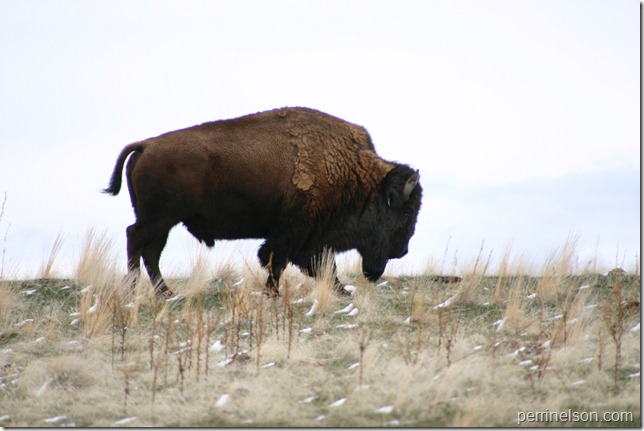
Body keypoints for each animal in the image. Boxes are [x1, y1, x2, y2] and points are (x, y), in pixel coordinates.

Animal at [103, 107, 422, 297]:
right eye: (404, 215)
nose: (403, 250)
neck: (351, 172)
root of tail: (147, 144)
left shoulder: (311, 239)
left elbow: (322, 266)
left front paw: (341, 291)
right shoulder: (292, 232)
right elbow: (276, 260)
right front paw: (273, 293)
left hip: (162, 221)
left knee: (149, 250)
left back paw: (164, 293)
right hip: (159, 219)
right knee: (138, 241)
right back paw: (136, 290)